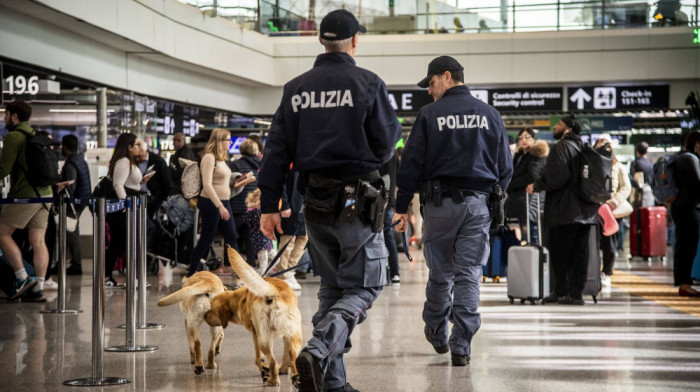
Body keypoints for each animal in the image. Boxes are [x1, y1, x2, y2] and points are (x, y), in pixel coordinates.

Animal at [202, 247, 300, 388]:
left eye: (211, 309)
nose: (204, 315)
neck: (239, 299)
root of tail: (273, 292)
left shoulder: (255, 333)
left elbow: (258, 358)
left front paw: (264, 368)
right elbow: (285, 354)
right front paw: (281, 369)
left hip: (264, 339)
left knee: (273, 361)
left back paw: (273, 381)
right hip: (293, 335)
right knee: (292, 354)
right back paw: (292, 376)